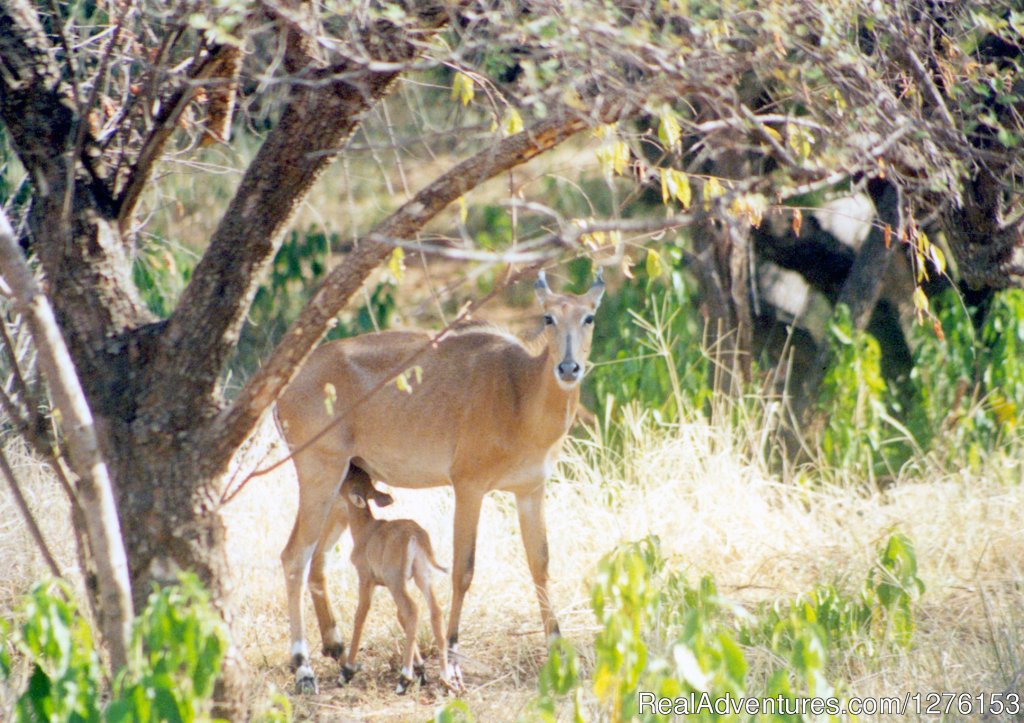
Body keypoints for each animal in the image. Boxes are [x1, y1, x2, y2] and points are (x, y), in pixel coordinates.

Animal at [337, 466, 450, 692]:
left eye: (349, 479)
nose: (351, 467)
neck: (366, 530)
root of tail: (416, 535)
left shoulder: (366, 578)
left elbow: (360, 615)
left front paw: (347, 672)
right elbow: (399, 617)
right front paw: (421, 670)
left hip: (396, 581)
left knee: (413, 610)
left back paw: (403, 679)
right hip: (421, 576)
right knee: (434, 610)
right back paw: (444, 678)